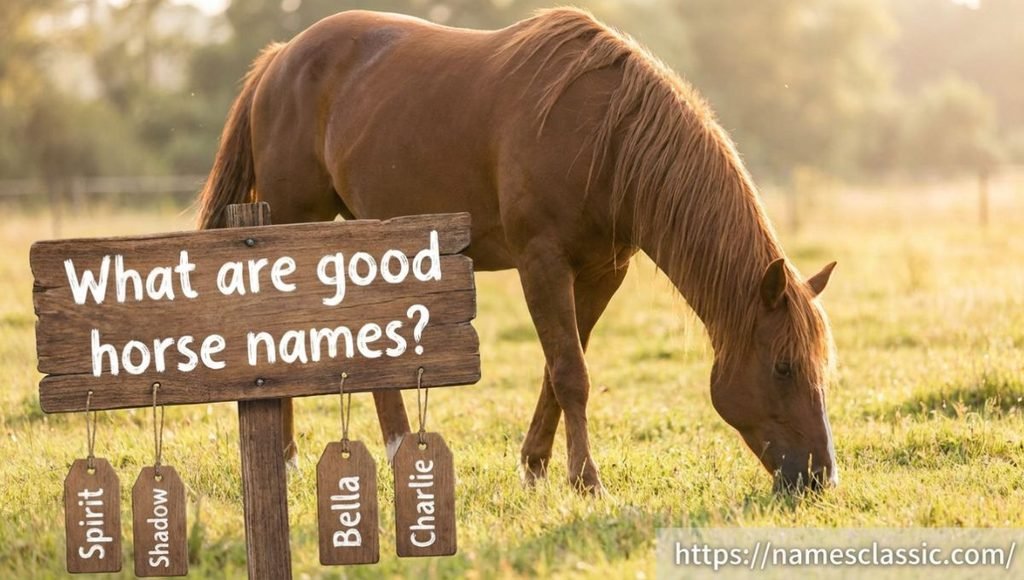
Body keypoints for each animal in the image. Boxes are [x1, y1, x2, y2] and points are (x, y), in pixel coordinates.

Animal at [196, 8, 839, 493]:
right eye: (783, 367)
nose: (818, 478)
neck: (607, 139)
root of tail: (280, 57)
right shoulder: (541, 262)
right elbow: (571, 372)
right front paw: (587, 481)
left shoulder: (602, 272)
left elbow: (560, 369)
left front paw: (535, 469)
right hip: (293, 222)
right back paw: (284, 460)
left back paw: (399, 449)